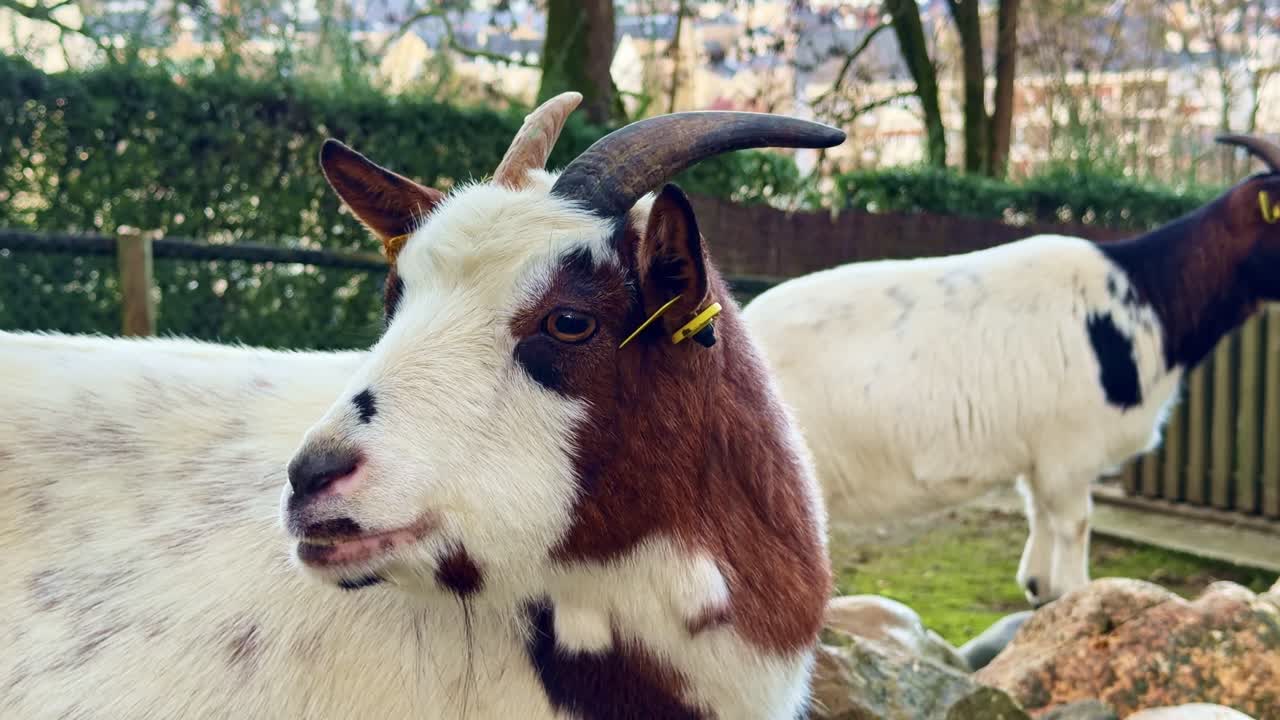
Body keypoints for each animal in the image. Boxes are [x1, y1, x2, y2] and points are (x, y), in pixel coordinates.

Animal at [743, 135, 1280, 608]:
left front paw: (1039, 588)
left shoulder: (1040, 453)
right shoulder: (1071, 450)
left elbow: (1038, 513)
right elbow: (1075, 524)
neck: (1146, 297)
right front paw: (1076, 595)